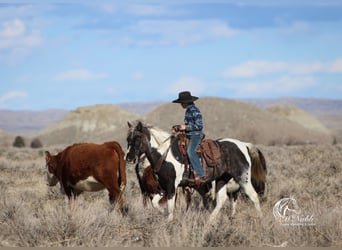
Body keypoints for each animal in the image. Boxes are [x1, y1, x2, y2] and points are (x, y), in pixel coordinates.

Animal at [125, 121, 268, 223]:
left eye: (137, 138)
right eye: (128, 139)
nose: (129, 158)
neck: (164, 155)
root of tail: (244, 145)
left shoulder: (172, 187)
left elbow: (170, 208)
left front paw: (169, 222)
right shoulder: (162, 188)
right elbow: (155, 204)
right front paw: (162, 214)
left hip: (243, 178)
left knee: (253, 196)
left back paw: (261, 219)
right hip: (222, 179)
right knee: (221, 199)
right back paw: (210, 220)